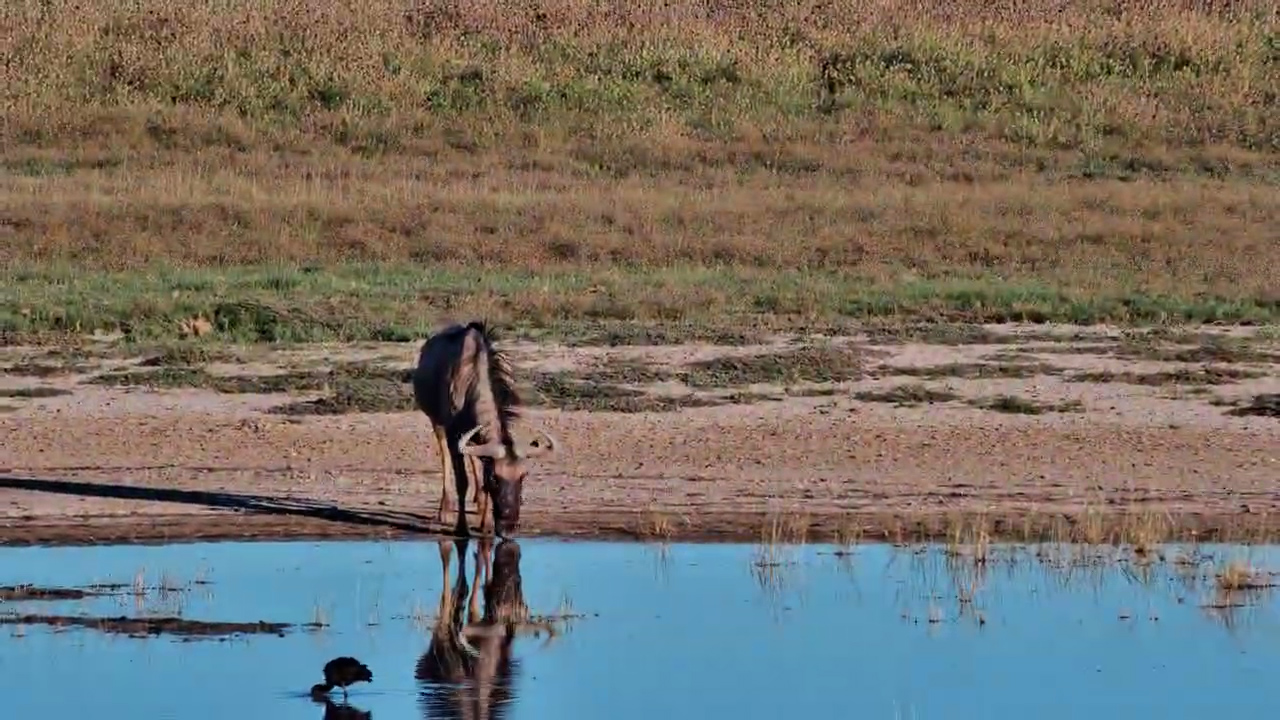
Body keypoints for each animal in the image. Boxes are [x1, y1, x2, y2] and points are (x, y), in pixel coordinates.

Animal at [411, 321, 560, 538]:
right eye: (495, 478)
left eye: (523, 476)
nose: (508, 529)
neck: (471, 382)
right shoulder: (453, 435)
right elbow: (462, 481)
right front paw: (461, 527)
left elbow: (480, 474)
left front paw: (486, 524)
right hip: (436, 423)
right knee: (445, 458)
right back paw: (445, 510)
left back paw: (479, 502)